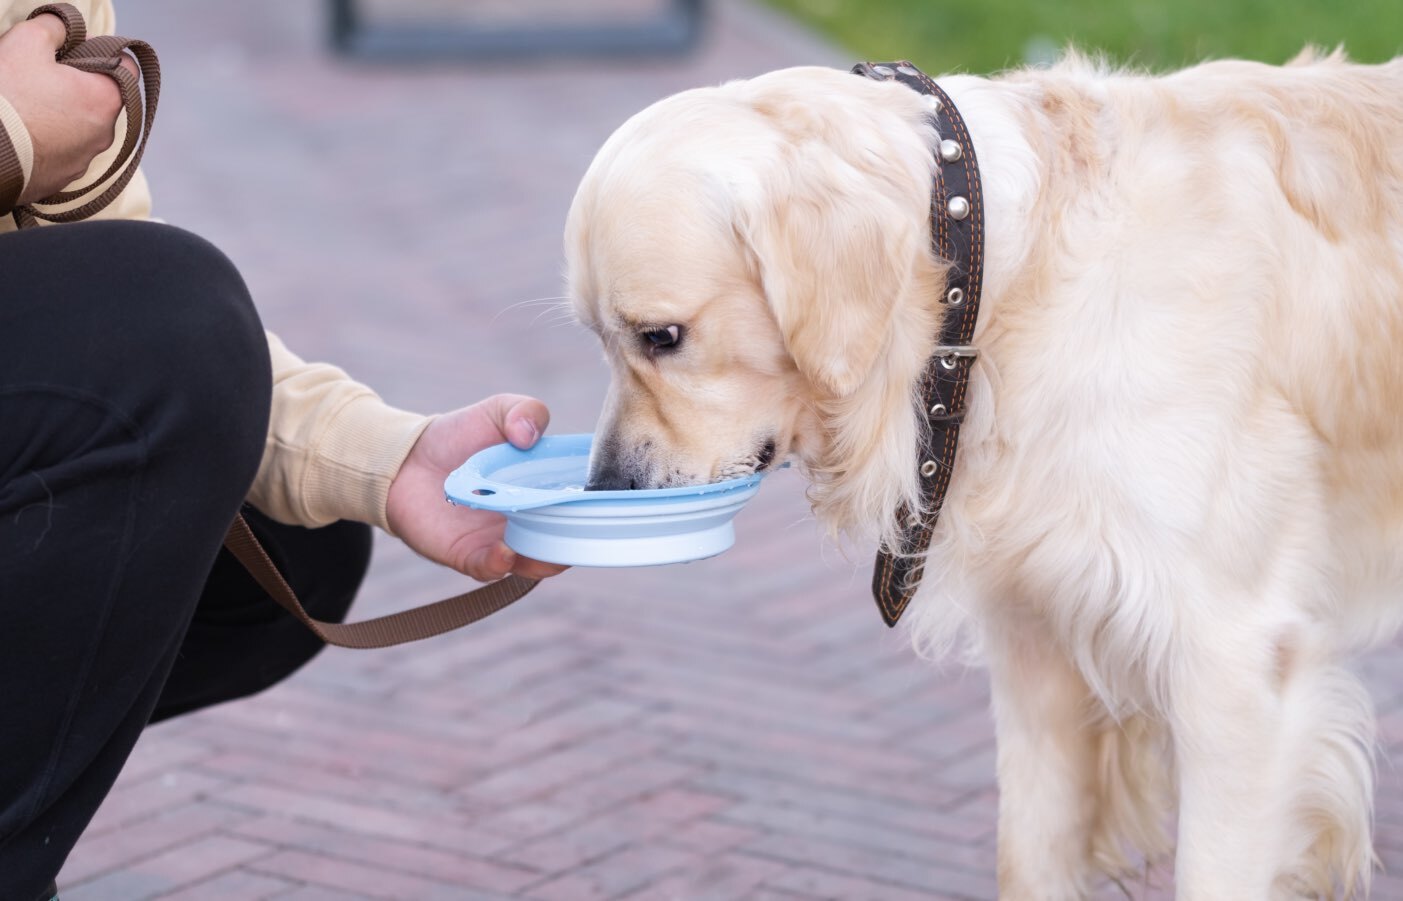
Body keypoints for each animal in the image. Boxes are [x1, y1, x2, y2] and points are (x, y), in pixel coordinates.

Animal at [561, 52, 1403, 892]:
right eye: (598, 338)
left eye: (661, 336)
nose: (605, 488)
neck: (1000, 281)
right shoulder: (1037, 641)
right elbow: (1027, 854)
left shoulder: (1231, 661)